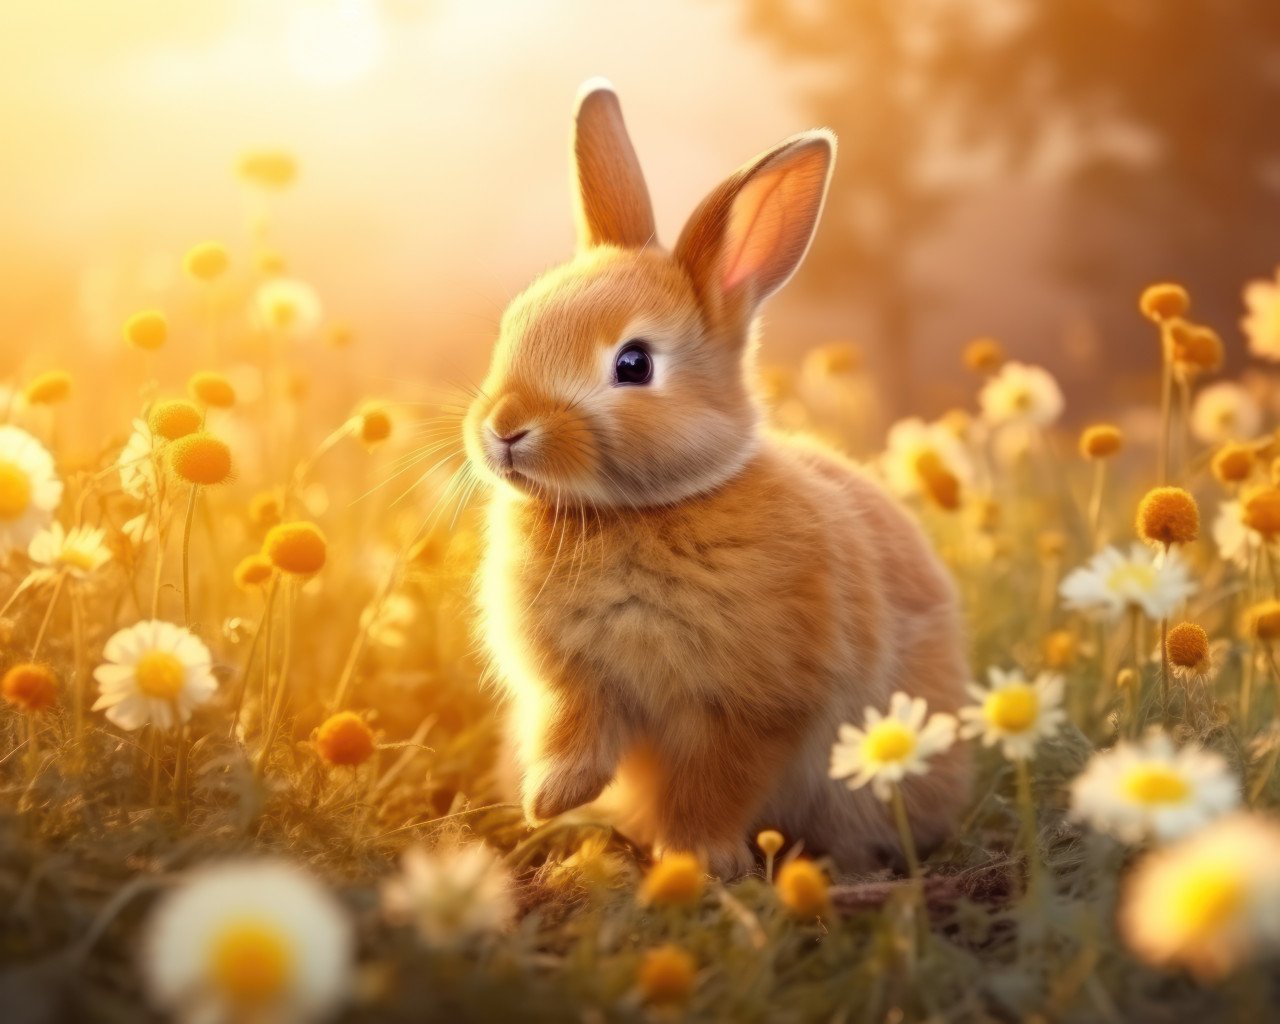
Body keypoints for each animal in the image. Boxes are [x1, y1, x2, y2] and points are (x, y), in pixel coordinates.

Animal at [463, 79, 970, 878]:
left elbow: (715, 785)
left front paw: (695, 859)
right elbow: (576, 730)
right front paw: (550, 798)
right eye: (515, 324)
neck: (634, 512)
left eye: (633, 364)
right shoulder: (575, 683)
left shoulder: (751, 709)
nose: (506, 429)